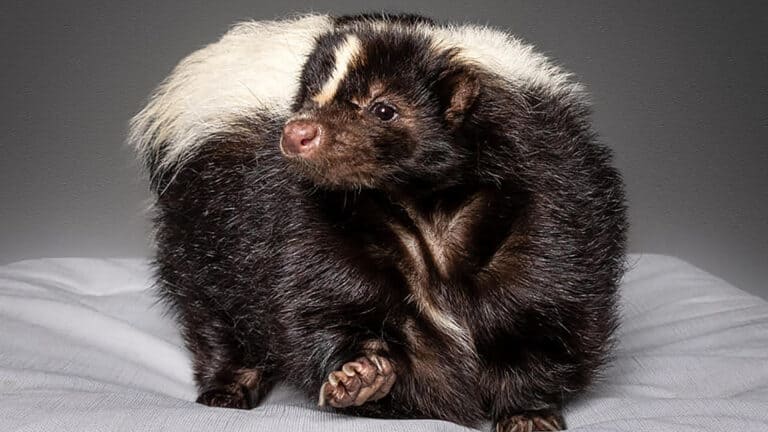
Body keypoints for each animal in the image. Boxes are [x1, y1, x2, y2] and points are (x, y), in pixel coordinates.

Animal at [130, 12, 624, 432]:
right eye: (306, 99)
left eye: (383, 109)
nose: (297, 132)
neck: (424, 204)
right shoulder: (305, 221)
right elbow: (324, 299)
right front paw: (360, 374)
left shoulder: (548, 204)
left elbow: (542, 306)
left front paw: (528, 411)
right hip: (199, 224)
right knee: (211, 312)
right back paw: (229, 387)